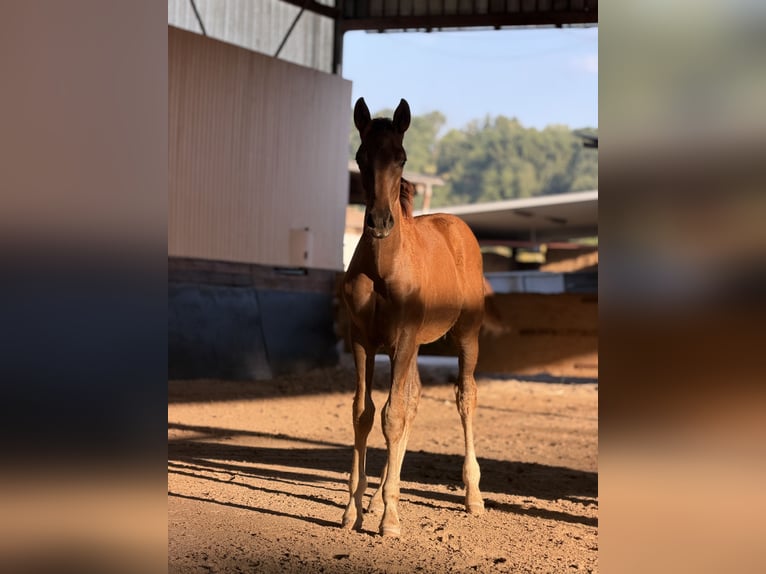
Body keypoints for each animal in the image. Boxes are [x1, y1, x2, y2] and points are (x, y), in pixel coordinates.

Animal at [341, 98, 485, 537]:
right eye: (360, 156)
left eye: (401, 158)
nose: (379, 222)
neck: (383, 267)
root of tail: (457, 226)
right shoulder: (362, 340)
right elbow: (365, 412)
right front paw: (354, 510)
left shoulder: (402, 339)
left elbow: (393, 415)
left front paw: (389, 519)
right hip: (414, 346)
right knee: (414, 400)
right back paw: (381, 495)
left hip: (466, 335)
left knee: (464, 396)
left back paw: (473, 496)